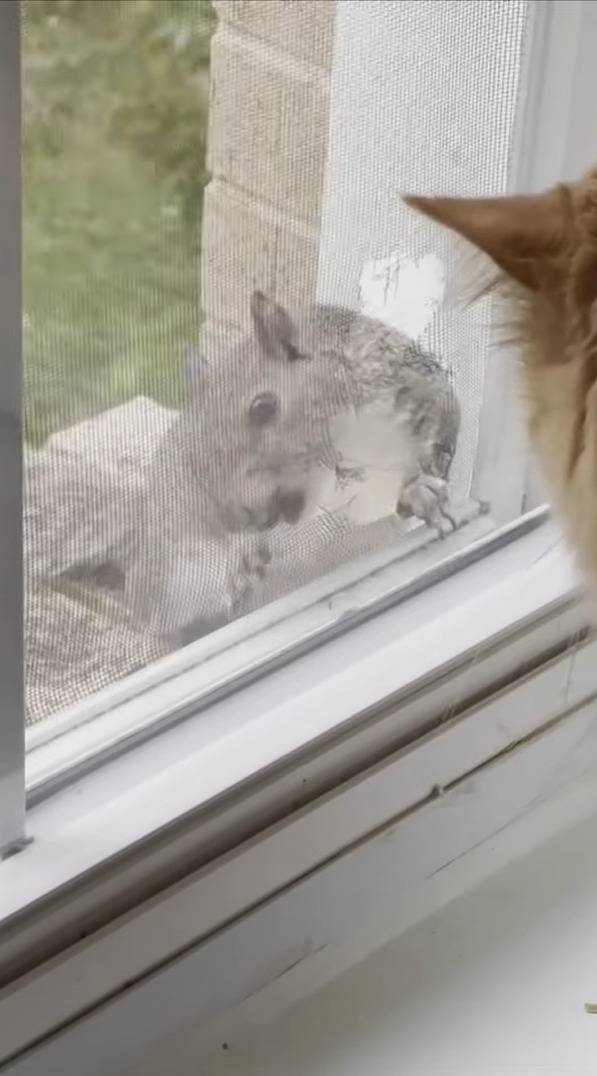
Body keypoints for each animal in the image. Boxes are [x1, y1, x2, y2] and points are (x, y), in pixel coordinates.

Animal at [127, 288, 462, 636]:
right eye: (192, 452)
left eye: (262, 408)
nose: (241, 517)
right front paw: (244, 556)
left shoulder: (425, 396)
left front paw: (421, 493)